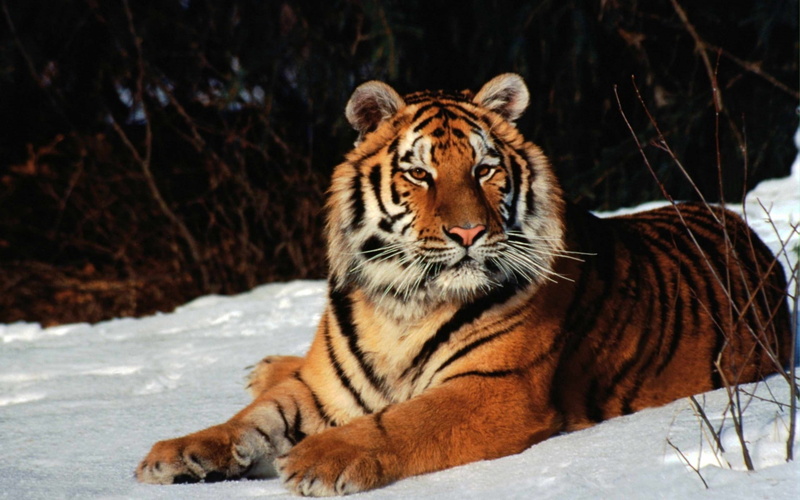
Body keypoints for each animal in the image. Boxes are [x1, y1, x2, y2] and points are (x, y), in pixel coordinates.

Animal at [136, 74, 792, 496]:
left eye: (484, 168)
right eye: (419, 174)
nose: (470, 231)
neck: (402, 304)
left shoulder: (494, 388)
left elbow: (400, 422)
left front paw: (319, 459)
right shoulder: (324, 387)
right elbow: (250, 420)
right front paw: (176, 454)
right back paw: (264, 366)